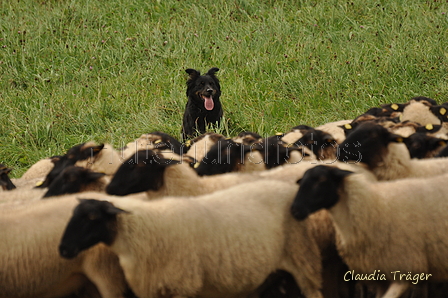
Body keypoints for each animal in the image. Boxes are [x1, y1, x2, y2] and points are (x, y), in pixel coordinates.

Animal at [292, 165, 448, 298]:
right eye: (301, 182)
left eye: (322, 180)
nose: (295, 210)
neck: (371, 206)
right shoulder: (380, 275)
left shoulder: (405, 267)